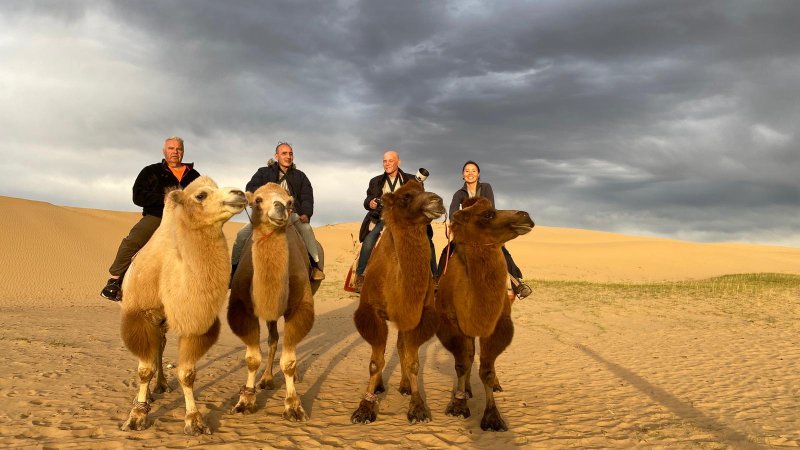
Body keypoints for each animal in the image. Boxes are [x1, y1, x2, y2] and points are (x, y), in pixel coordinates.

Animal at [119, 174, 247, 434]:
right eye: (201, 195)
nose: (240, 193)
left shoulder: (194, 319)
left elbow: (187, 373)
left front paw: (194, 420)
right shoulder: (140, 315)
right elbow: (143, 369)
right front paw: (137, 416)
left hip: (163, 321)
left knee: (159, 346)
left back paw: (161, 385)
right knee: (151, 352)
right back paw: (148, 395)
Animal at [225, 182, 322, 422]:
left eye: (290, 202)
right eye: (257, 200)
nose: (280, 207)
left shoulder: (300, 307)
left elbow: (288, 361)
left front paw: (293, 406)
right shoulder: (243, 309)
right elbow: (252, 358)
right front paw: (245, 401)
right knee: (273, 339)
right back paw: (267, 379)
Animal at [352, 180, 446, 426]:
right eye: (406, 197)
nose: (438, 200)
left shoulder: (417, 315)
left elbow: (413, 361)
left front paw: (418, 406)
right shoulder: (371, 312)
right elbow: (375, 362)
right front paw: (364, 408)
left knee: (401, 346)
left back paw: (404, 386)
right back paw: (379, 386)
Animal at [434, 199, 536, 430]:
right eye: (488, 214)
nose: (525, 215)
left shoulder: (499, 326)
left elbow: (487, 371)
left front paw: (493, 417)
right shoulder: (452, 324)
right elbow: (462, 363)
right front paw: (458, 405)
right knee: (469, 355)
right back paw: (467, 390)